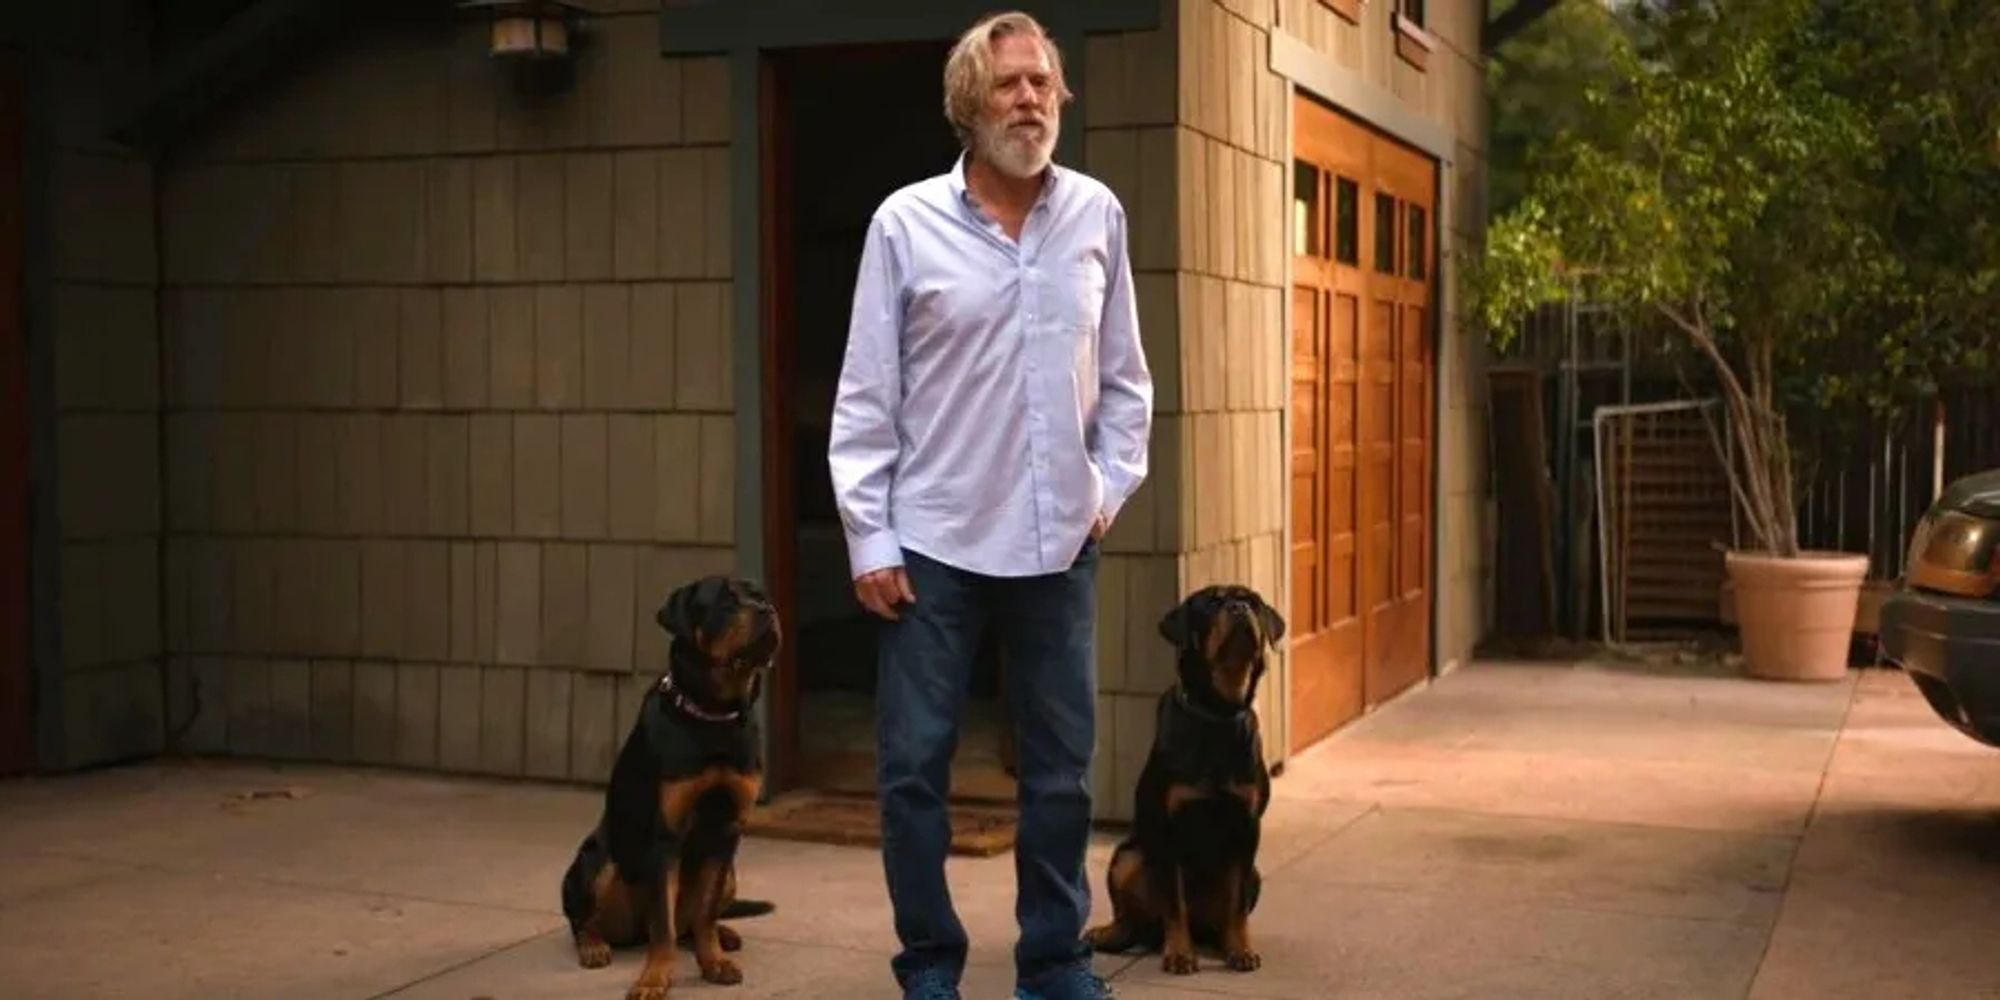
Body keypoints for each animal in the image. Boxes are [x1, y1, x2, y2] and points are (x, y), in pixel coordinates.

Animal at [564, 576, 788, 996]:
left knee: (693, 921)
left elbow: (704, 913)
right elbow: (663, 926)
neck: (714, 715)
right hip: (596, 863)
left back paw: (724, 934)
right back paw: (594, 946)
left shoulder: (726, 831)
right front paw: (654, 978)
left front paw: (713, 961)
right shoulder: (665, 835)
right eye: (725, 602)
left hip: (731, 873)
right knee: (587, 920)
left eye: (761, 596)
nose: (769, 610)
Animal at [1088, 584, 1288, 976]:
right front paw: (1180, 954)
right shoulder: (1170, 828)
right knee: (1131, 918)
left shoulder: (1247, 825)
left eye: (1254, 602)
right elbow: (1175, 902)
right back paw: (1107, 934)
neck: (1217, 713)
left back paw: (1223, 942)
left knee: (1223, 914)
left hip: (1253, 874)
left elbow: (1237, 905)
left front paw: (1242, 950)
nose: (1239, 607)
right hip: (1128, 856)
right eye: (1210, 603)